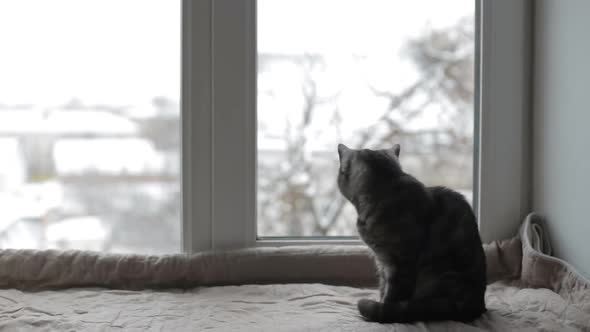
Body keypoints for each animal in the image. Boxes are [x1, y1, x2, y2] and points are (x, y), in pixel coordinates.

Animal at [338, 144, 486, 322]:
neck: (385, 190)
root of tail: (477, 306)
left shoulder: (399, 262)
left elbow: (391, 296)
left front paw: (384, 311)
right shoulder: (382, 261)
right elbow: (383, 286)